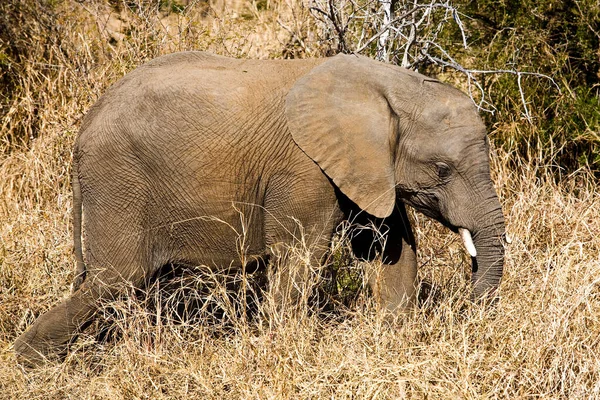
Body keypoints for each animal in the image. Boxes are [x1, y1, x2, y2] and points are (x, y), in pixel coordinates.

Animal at [14, 52, 504, 366]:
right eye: (442, 170)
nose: (469, 306)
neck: (388, 85)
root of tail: (83, 129)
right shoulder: (306, 167)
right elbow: (301, 255)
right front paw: (287, 342)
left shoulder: (363, 166)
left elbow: (387, 246)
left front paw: (392, 332)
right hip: (119, 181)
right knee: (115, 281)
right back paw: (29, 361)